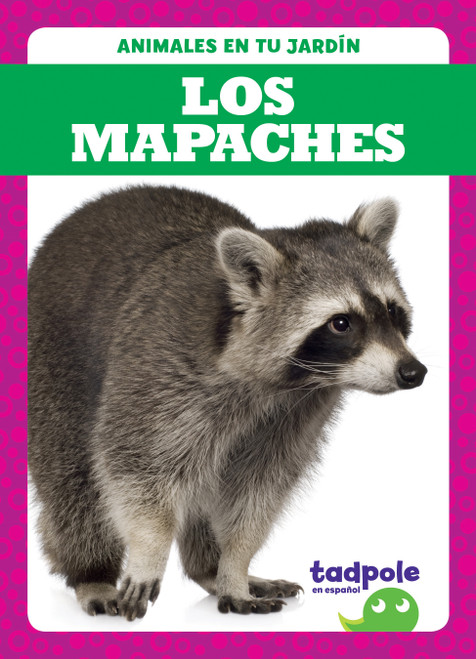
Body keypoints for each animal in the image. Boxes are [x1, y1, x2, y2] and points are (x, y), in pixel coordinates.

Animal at [28, 185, 427, 620]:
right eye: (342, 323)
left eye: (391, 310)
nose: (413, 371)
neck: (284, 384)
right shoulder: (158, 371)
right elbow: (135, 467)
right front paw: (149, 548)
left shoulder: (297, 413)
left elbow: (260, 489)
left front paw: (234, 565)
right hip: (52, 361)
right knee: (75, 482)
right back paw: (92, 573)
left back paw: (209, 569)